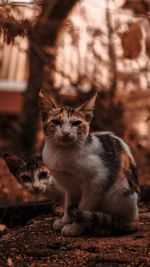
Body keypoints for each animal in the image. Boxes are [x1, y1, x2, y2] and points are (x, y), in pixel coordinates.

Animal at [38, 89, 139, 237]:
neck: (61, 152)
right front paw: (65, 221)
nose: (66, 132)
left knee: (130, 224)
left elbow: (84, 206)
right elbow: (68, 205)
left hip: (120, 191)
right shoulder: (69, 186)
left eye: (76, 123)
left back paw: (108, 226)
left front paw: (75, 227)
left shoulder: (96, 182)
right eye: (56, 121)